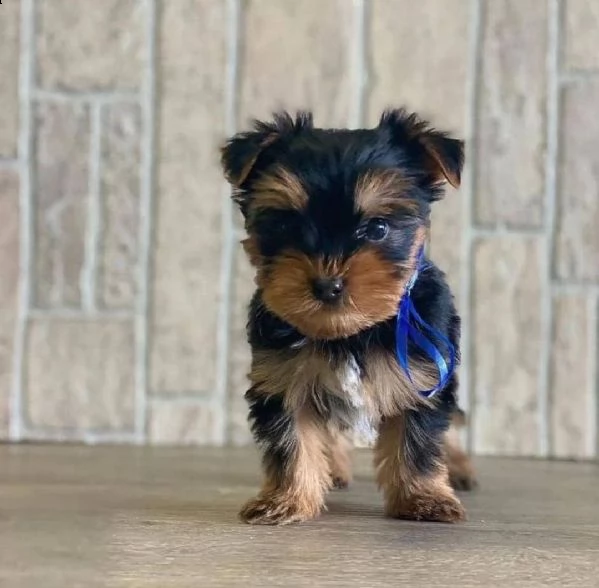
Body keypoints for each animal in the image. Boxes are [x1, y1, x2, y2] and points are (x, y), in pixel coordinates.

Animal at [220, 109, 478, 524]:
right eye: (286, 225)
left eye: (378, 228)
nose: (328, 285)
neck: (351, 332)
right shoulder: (282, 377)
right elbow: (292, 440)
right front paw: (287, 500)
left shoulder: (422, 374)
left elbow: (419, 439)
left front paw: (423, 499)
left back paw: (458, 469)